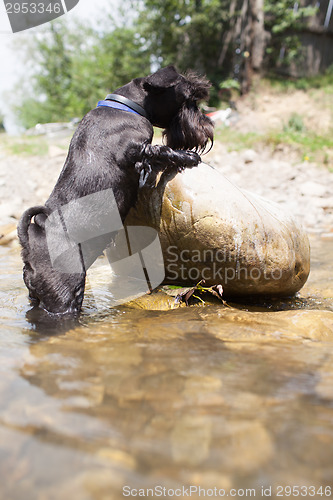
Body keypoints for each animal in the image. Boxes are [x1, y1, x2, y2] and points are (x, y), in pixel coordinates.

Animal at [17, 64, 213, 314]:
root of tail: (30, 245)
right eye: (190, 99)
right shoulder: (136, 149)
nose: (208, 127)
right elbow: (162, 150)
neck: (125, 107)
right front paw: (187, 156)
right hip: (64, 296)